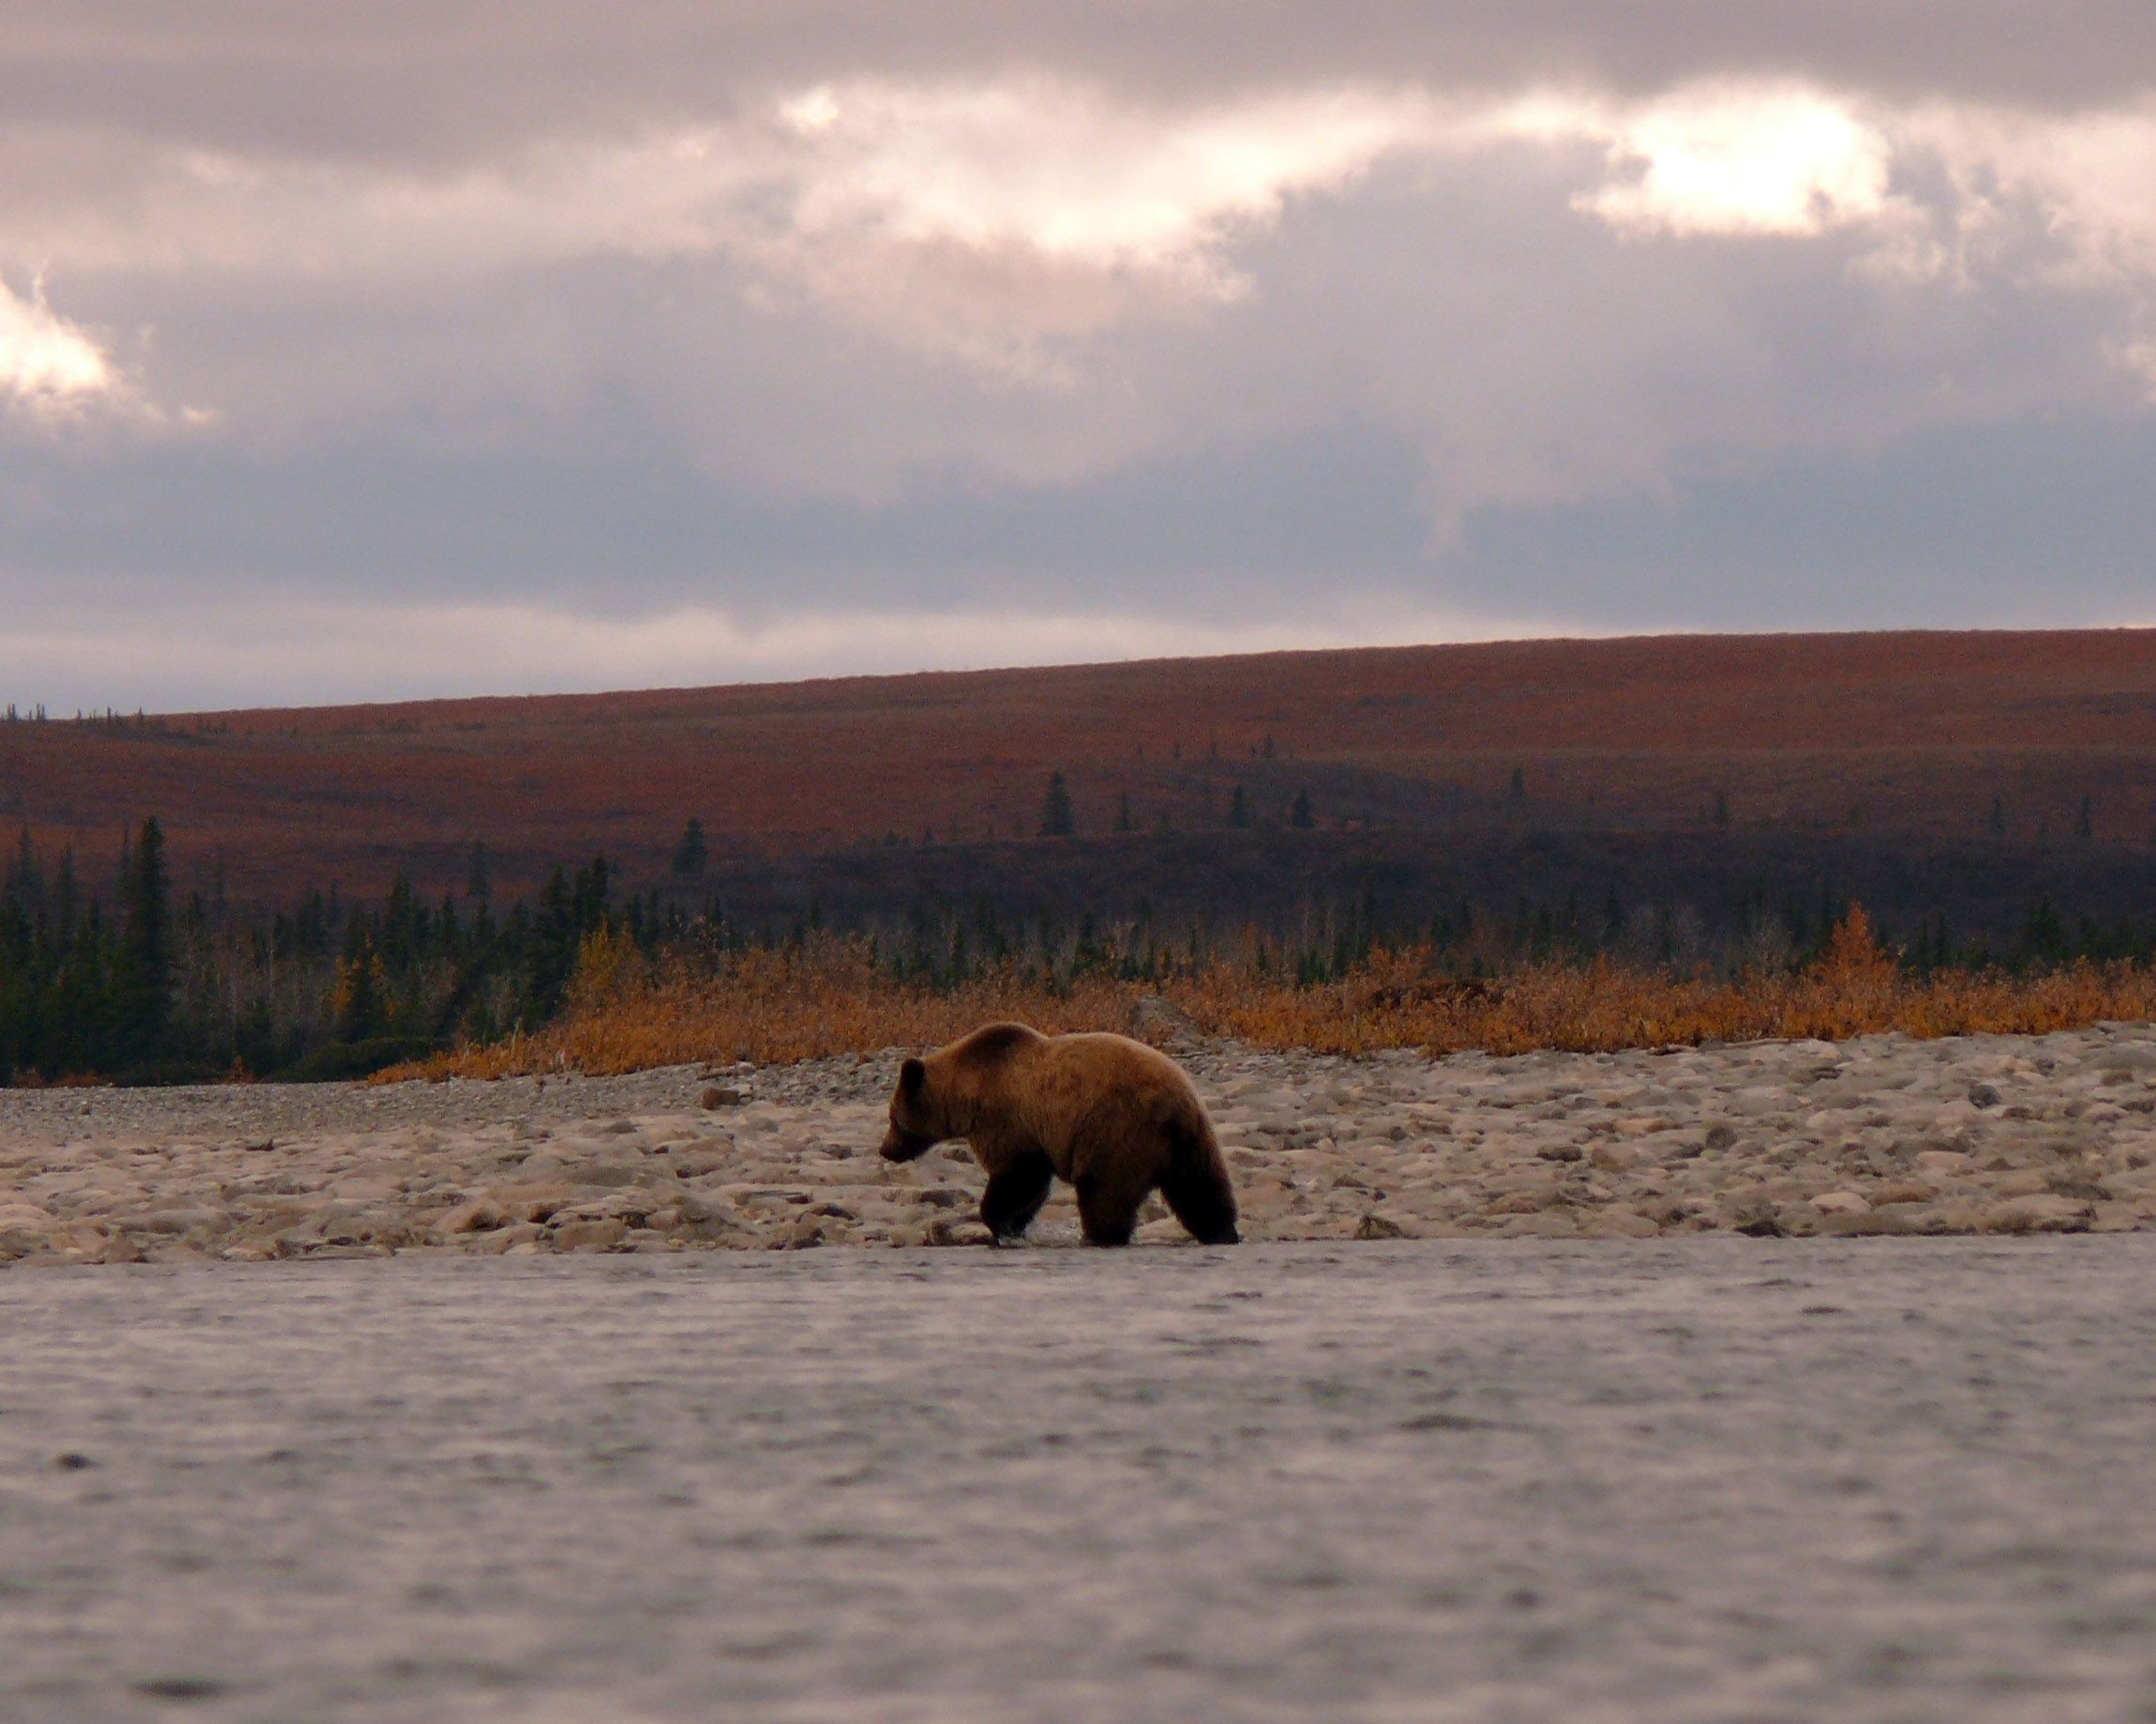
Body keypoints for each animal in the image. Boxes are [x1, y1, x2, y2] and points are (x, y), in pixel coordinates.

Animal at [875, 1018, 1241, 1251]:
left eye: (893, 1118)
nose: (885, 1150)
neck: (966, 1090)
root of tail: (1176, 1106)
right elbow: (1031, 1187)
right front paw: (1013, 1226)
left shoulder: (1006, 1122)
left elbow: (1019, 1177)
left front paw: (1001, 1224)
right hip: (1194, 1141)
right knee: (1203, 1189)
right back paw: (1223, 1232)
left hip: (1117, 1133)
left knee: (1105, 1194)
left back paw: (1099, 1236)